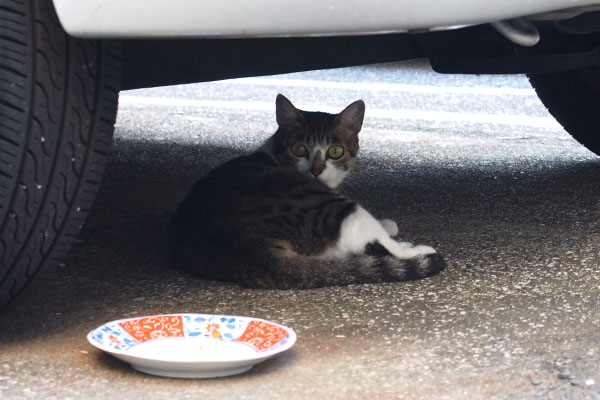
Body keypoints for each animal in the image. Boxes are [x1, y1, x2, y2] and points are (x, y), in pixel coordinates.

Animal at [169, 94, 446, 288]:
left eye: (336, 151)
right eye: (299, 149)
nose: (316, 170)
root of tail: (247, 250)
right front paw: (391, 228)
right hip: (333, 208)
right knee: (375, 240)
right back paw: (415, 250)